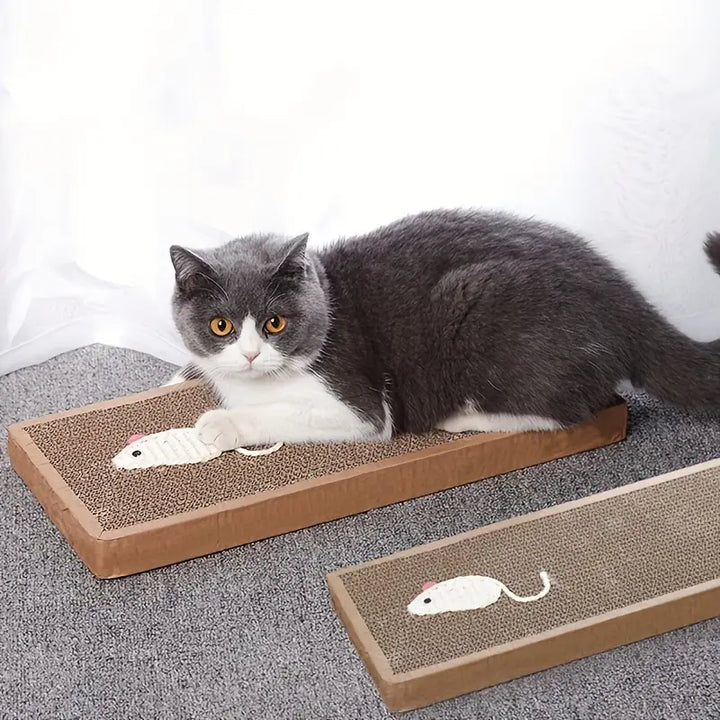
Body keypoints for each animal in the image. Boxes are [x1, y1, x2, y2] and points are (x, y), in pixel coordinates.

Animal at [169, 205, 720, 450]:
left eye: (275, 322)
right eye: (220, 325)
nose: (250, 354)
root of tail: (624, 298)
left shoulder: (358, 403)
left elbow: (284, 413)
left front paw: (220, 425)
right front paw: (182, 375)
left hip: (483, 315)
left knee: (568, 410)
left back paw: (463, 418)